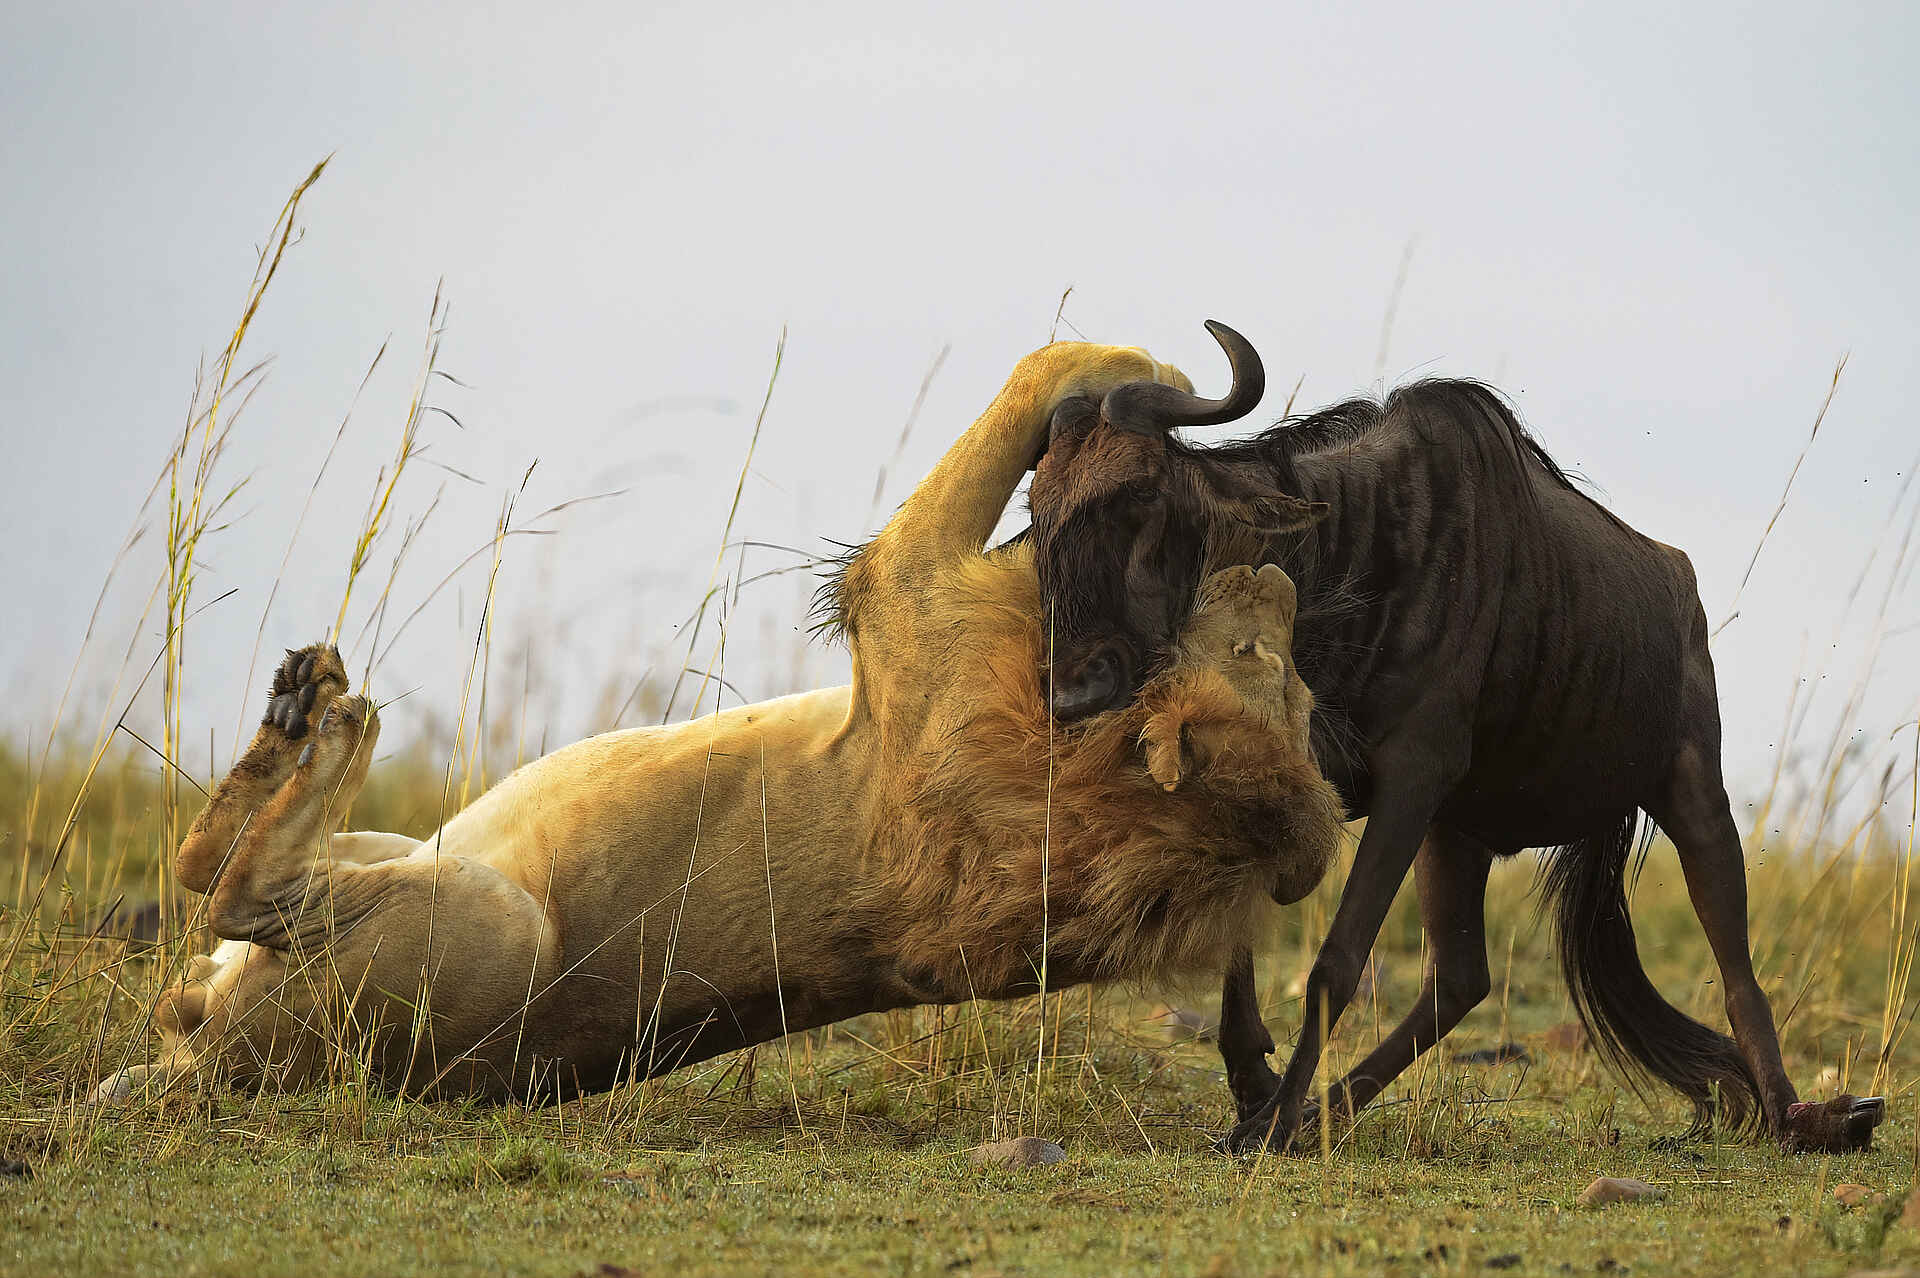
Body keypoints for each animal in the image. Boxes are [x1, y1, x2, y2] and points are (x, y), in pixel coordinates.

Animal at [97, 339, 1344, 1104]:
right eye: (1284, 684)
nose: (1279, 583)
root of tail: (208, 1067)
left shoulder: (908, 588)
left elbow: (1056, 361)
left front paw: (1152, 376)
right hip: (402, 850)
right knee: (209, 882)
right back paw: (296, 710)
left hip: (491, 922)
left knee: (232, 888)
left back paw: (330, 719)